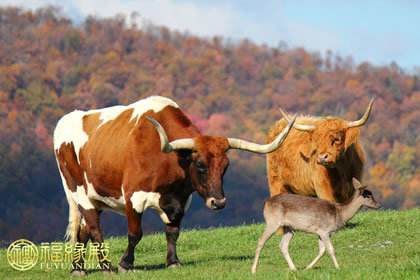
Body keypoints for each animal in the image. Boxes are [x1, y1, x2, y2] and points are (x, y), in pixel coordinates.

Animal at [53, 95, 296, 274]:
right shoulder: (133, 196)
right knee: (94, 228)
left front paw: (173, 262)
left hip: (95, 196)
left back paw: (78, 268)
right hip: (78, 191)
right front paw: (125, 264)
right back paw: (106, 266)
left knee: (83, 231)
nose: (218, 202)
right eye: (200, 165)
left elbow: (173, 231)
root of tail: (66, 121)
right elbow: (135, 233)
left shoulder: (180, 200)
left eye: (225, 166)